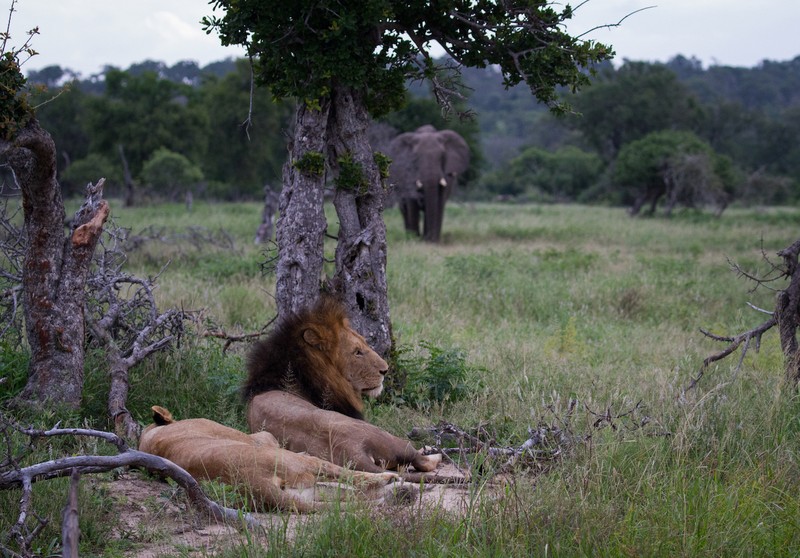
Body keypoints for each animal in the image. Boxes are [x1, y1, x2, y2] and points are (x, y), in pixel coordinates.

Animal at [141, 404, 400, 516]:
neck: (153, 439)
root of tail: (255, 485)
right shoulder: (254, 437)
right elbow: (268, 437)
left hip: (303, 492)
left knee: (343, 499)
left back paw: (390, 494)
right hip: (304, 464)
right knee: (350, 477)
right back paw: (389, 480)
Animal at [245, 298, 444, 476]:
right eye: (357, 352)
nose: (385, 370)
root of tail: (355, 451)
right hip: (386, 436)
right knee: (421, 461)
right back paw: (434, 453)